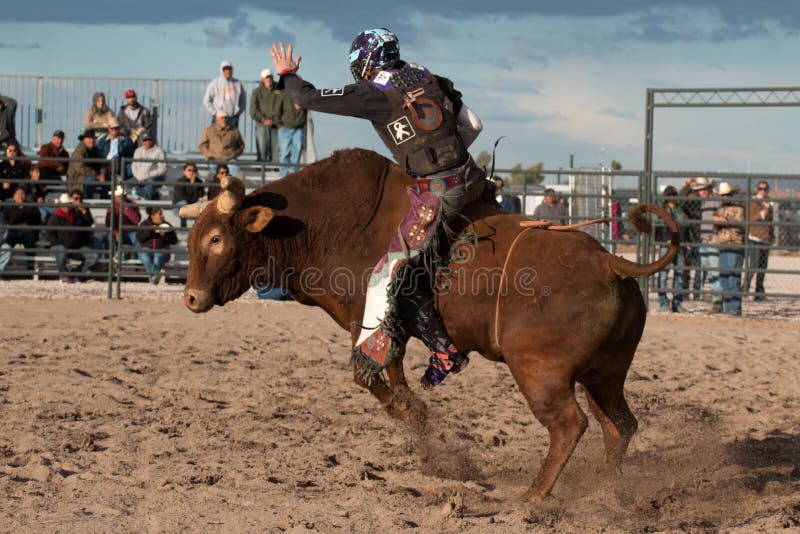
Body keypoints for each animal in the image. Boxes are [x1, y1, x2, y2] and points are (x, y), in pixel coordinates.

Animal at [178, 148, 680, 502]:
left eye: (217, 238)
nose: (191, 298)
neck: (326, 224)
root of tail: (611, 262)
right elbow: (388, 382)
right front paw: (421, 429)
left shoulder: (377, 322)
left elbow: (374, 377)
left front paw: (421, 427)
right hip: (605, 374)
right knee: (619, 426)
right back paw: (601, 488)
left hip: (541, 371)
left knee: (569, 425)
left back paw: (535, 495)